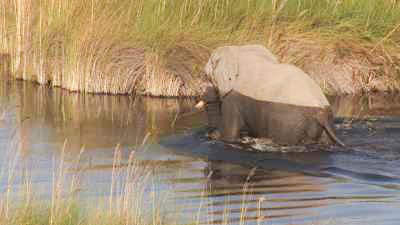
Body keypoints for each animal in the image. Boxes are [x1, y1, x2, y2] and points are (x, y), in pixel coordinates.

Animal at [197, 44, 344, 147]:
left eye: (206, 76)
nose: (210, 134)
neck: (238, 50)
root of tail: (321, 114)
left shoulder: (234, 97)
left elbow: (230, 134)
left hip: (288, 122)